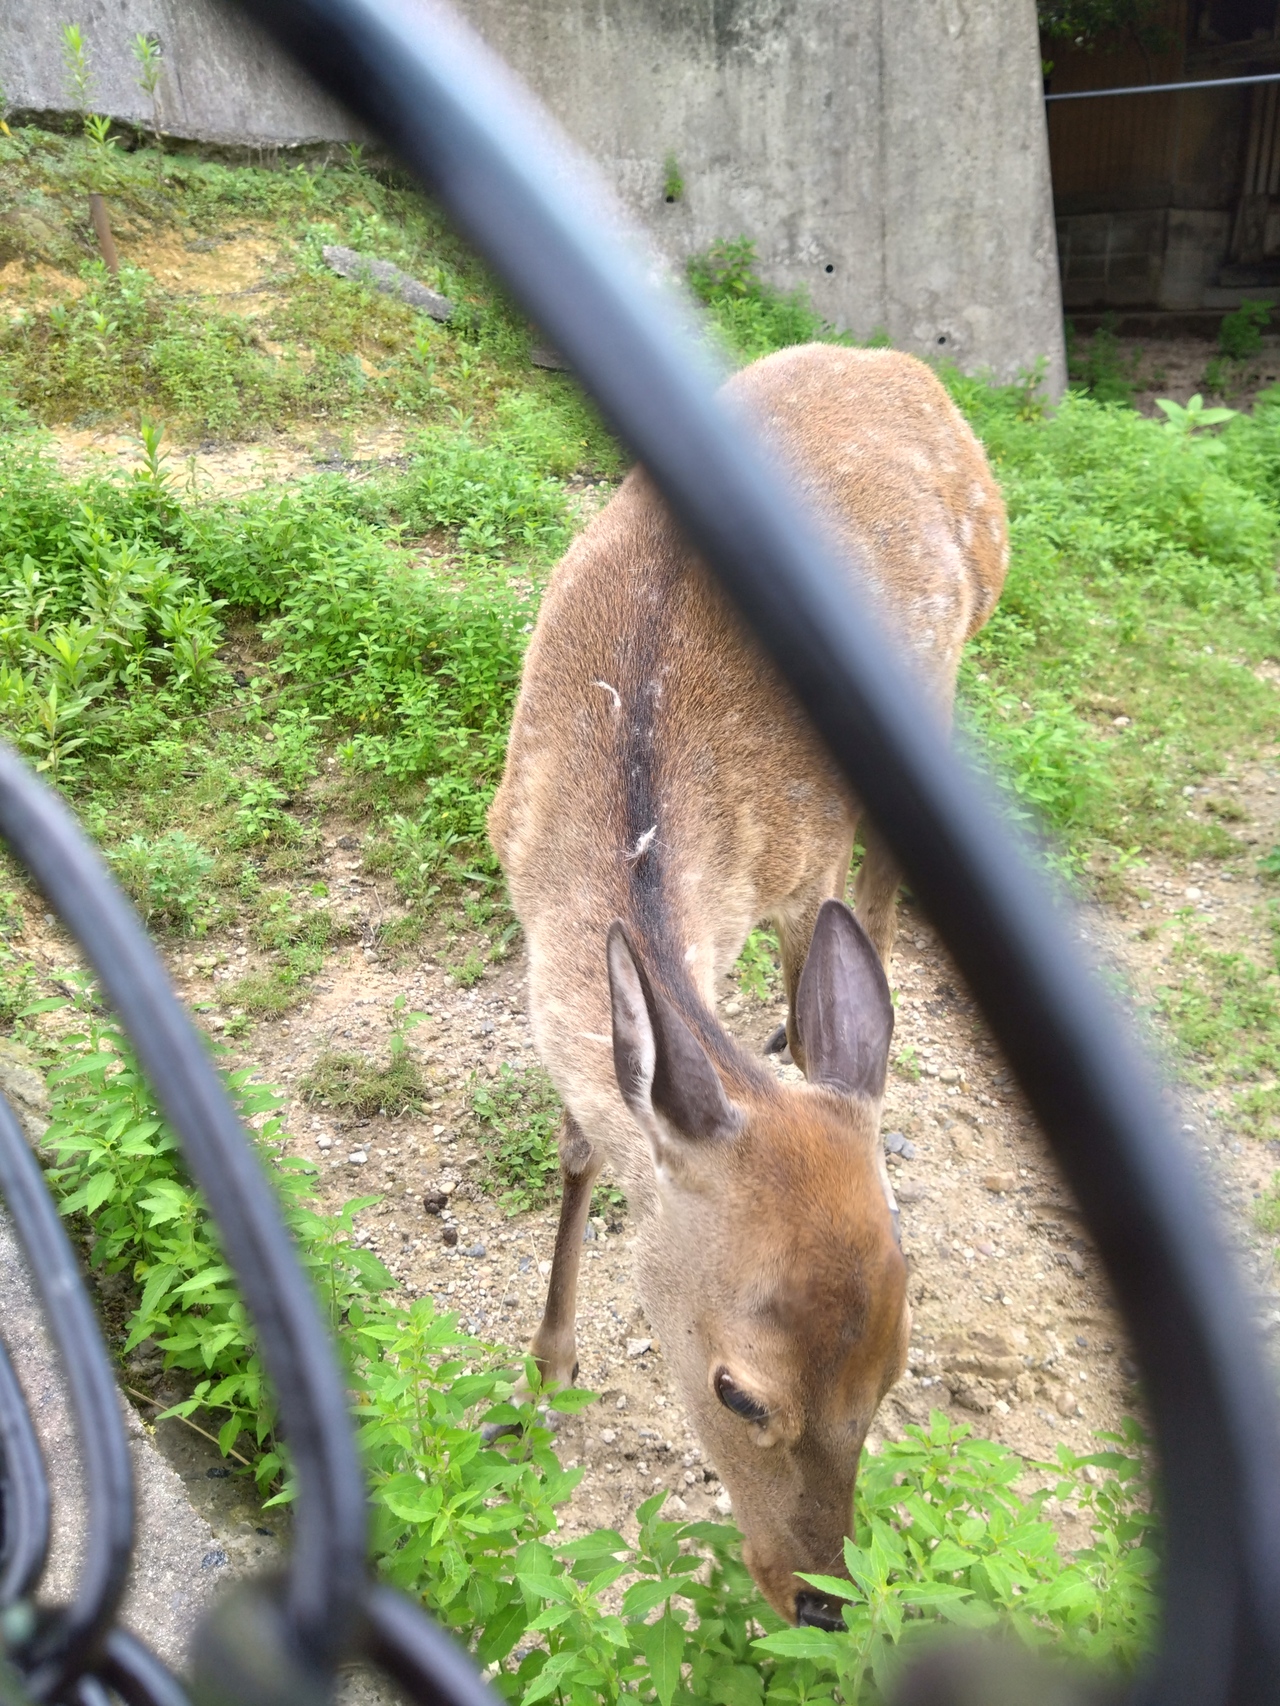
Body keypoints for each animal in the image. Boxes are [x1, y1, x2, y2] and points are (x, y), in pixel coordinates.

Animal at [484, 336, 1010, 1624]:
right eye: (738, 1390)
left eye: (896, 1371)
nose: (824, 1596)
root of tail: (906, 368)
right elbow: (580, 1140)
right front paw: (544, 1373)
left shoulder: (797, 859)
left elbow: (809, 986)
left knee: (882, 892)